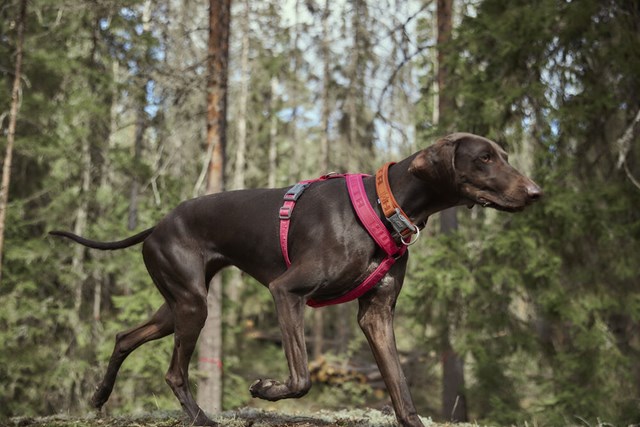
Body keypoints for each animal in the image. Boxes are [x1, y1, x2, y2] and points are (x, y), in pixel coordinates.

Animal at [51, 134, 540, 427]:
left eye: (504, 156)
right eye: (484, 158)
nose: (537, 193)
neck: (384, 206)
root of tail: (157, 225)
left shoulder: (377, 315)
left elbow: (401, 390)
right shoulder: (287, 291)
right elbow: (302, 378)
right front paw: (264, 389)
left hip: (176, 305)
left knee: (124, 337)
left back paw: (98, 398)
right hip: (192, 306)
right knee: (174, 371)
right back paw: (200, 418)